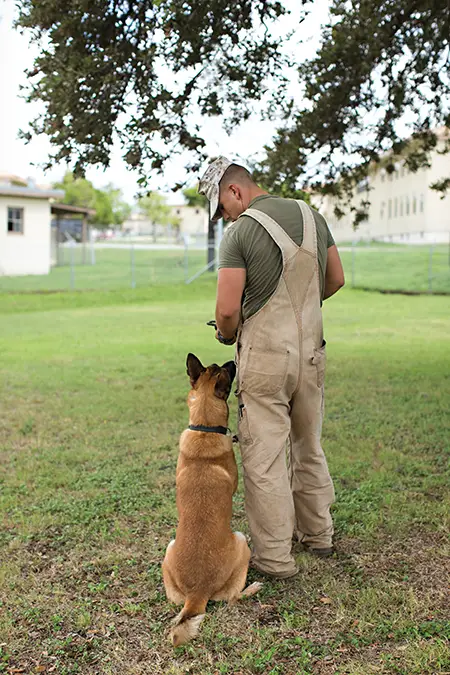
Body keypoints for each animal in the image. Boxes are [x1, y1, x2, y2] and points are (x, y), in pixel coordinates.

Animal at [162, 352, 262, 648]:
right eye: (223, 369)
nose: (232, 360)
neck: (204, 428)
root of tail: (198, 593)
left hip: (168, 551)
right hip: (240, 542)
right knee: (233, 598)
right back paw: (253, 587)